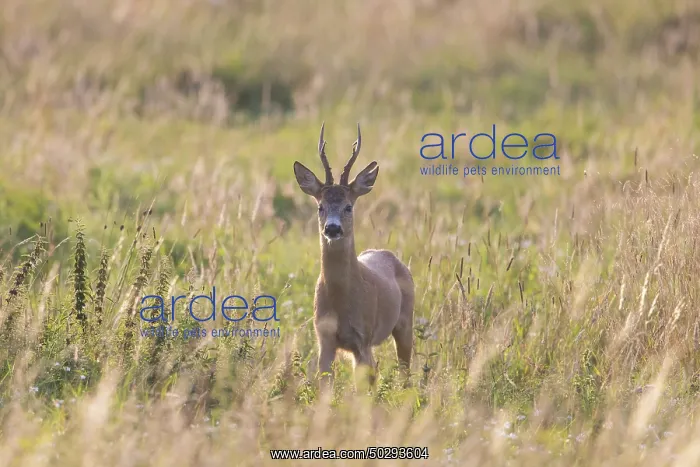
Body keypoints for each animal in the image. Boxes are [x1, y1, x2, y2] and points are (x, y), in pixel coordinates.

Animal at [293, 122, 415, 391]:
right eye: (320, 207)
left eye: (349, 206)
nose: (332, 228)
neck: (342, 301)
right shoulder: (324, 336)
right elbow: (325, 385)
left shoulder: (363, 337)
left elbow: (364, 387)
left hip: (405, 321)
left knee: (404, 370)